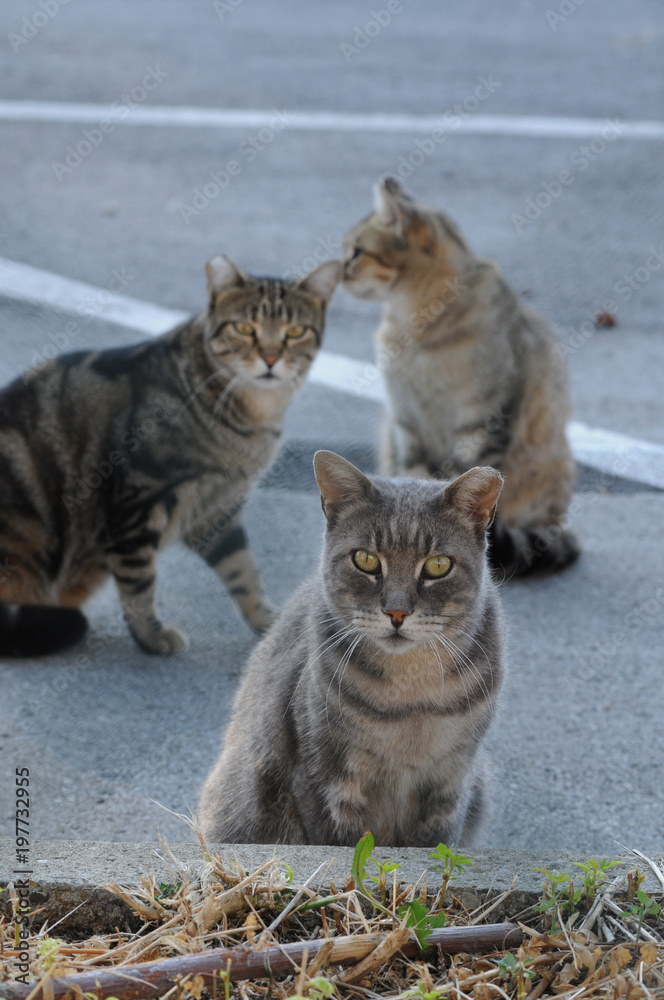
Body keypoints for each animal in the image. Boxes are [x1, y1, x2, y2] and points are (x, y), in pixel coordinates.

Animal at [0, 256, 340, 656]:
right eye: (244, 328)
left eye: (295, 331)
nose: (270, 358)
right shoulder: (137, 500)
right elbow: (138, 582)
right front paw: (150, 634)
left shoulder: (217, 509)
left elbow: (243, 570)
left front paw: (268, 623)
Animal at [197, 450, 504, 848]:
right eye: (366, 559)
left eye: (438, 565)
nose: (397, 612)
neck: (410, 699)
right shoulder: (323, 781)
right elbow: (344, 848)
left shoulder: (451, 783)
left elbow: (437, 848)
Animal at [342, 176, 580, 576]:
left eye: (357, 251)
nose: (339, 271)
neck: (414, 327)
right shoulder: (407, 423)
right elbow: (416, 481)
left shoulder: (483, 423)